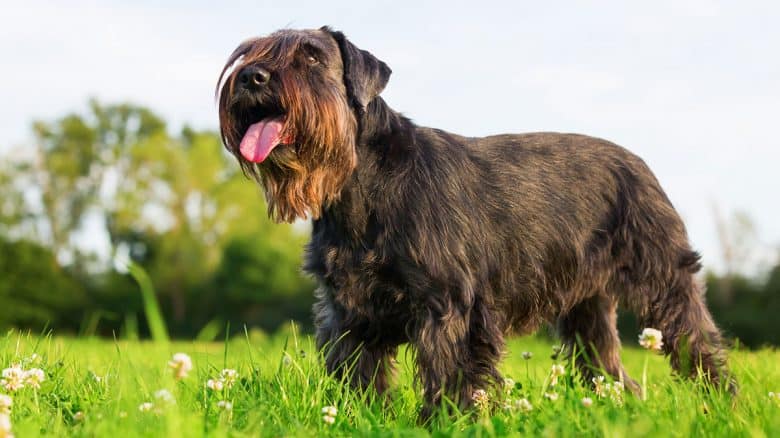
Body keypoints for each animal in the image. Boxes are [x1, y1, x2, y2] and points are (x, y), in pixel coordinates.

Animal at [215, 26, 732, 418]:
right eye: (251, 50)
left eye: (311, 55)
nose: (252, 77)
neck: (360, 183)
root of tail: (639, 162)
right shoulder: (347, 311)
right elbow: (358, 374)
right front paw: (361, 417)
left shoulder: (450, 305)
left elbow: (453, 375)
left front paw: (448, 422)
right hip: (587, 308)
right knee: (610, 370)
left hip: (665, 281)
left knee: (699, 346)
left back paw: (723, 405)